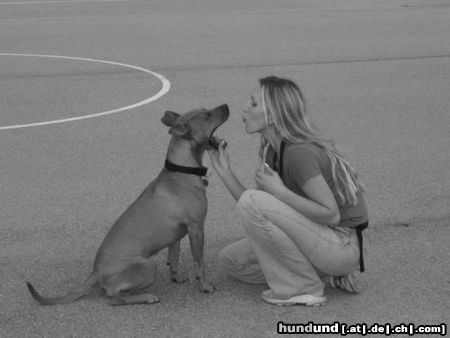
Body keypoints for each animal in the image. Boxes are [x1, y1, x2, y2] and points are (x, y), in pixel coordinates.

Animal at [25, 103, 229, 306]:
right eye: (206, 115)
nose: (226, 106)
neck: (182, 169)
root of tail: (96, 272)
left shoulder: (177, 236)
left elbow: (174, 258)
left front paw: (176, 277)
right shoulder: (196, 229)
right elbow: (199, 263)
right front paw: (205, 286)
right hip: (148, 265)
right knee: (114, 297)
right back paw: (146, 297)